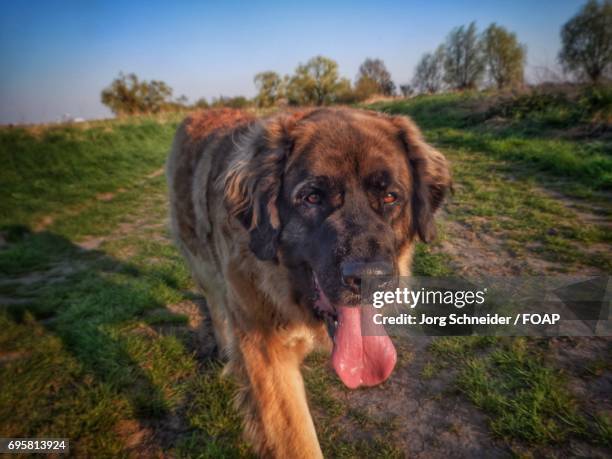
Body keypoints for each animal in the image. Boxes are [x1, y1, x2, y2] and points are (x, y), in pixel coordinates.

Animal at [166, 107, 450, 456]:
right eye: (312, 197)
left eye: (389, 196)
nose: (370, 277)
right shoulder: (266, 355)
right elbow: (298, 441)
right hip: (200, 263)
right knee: (215, 303)